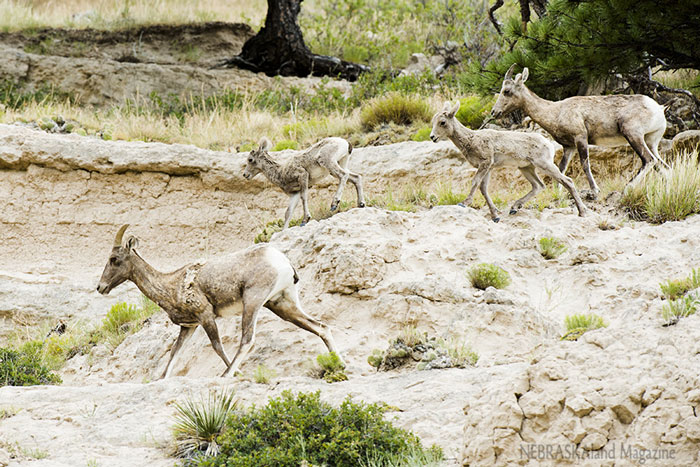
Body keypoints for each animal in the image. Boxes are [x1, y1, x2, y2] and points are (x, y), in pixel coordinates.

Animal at [96, 225, 342, 378]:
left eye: (114, 259)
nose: (101, 287)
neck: (171, 285)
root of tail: (281, 260)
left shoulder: (206, 316)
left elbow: (217, 346)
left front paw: (237, 373)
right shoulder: (189, 327)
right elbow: (174, 356)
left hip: (253, 303)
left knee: (247, 340)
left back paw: (226, 375)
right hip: (282, 305)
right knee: (322, 327)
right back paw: (341, 364)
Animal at [430, 101, 588, 222]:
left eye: (442, 122)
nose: (432, 137)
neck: (471, 139)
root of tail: (548, 144)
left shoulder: (485, 163)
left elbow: (475, 183)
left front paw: (463, 203)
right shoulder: (488, 168)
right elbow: (483, 189)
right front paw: (495, 216)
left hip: (544, 165)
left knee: (567, 181)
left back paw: (582, 212)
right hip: (526, 168)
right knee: (539, 186)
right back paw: (514, 208)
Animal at [490, 65, 668, 197]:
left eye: (507, 91)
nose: (494, 112)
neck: (556, 111)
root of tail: (658, 109)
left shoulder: (580, 138)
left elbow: (585, 164)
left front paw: (595, 190)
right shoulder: (569, 147)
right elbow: (561, 168)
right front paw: (559, 193)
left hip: (633, 136)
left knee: (649, 160)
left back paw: (626, 189)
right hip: (651, 141)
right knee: (663, 165)